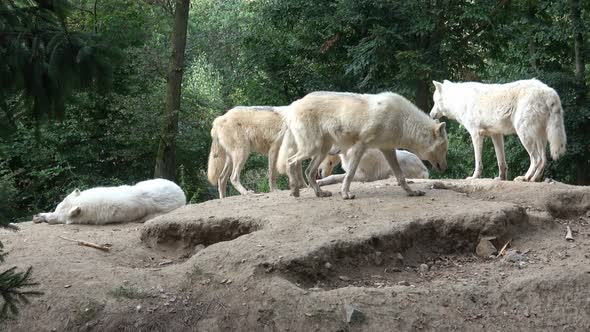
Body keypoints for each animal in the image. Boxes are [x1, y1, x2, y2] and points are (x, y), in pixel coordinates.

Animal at [282, 91, 448, 200]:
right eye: (444, 149)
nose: (445, 168)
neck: (402, 121)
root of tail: (294, 105)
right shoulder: (361, 146)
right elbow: (349, 174)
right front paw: (345, 193)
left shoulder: (388, 149)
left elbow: (400, 177)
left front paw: (412, 192)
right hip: (313, 148)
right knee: (290, 161)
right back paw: (295, 190)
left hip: (322, 150)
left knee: (309, 171)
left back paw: (320, 193)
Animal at [432, 78, 568, 182]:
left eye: (434, 101)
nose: (431, 114)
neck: (459, 101)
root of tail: (550, 91)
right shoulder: (496, 135)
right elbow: (501, 161)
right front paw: (501, 178)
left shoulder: (476, 134)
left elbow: (478, 161)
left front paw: (474, 177)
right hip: (539, 139)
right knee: (543, 160)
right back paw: (533, 179)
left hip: (524, 135)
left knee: (536, 159)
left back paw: (525, 178)